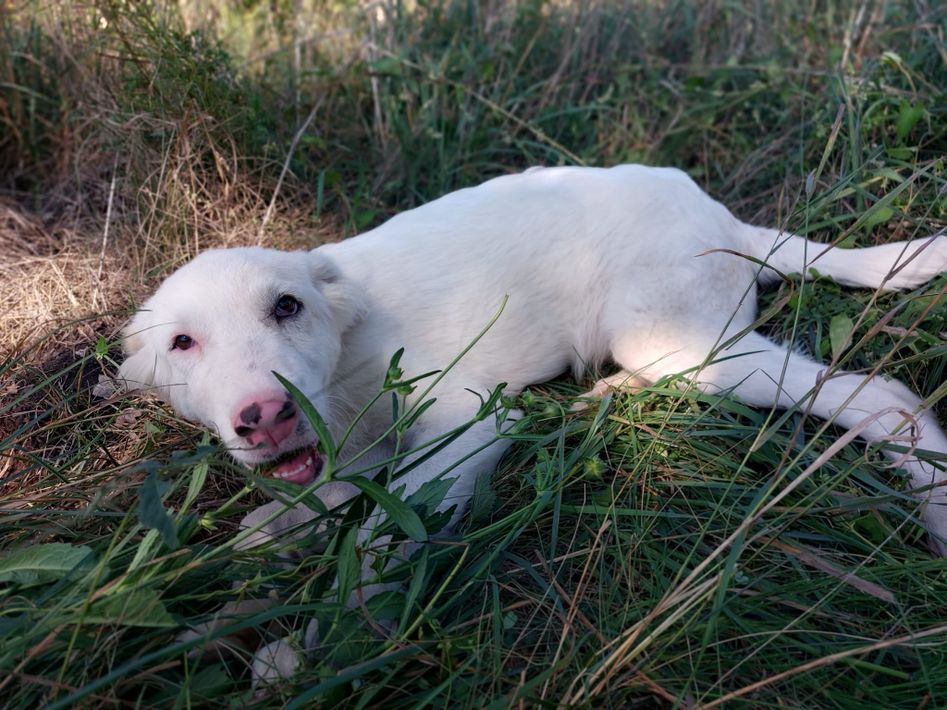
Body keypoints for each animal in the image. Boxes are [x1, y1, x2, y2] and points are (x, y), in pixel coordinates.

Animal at [119, 164, 947, 679]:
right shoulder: (348, 450)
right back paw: (592, 399)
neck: (347, 351)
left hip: (679, 344)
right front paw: (269, 541)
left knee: (884, 398)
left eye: (285, 306)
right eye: (182, 344)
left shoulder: (468, 425)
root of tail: (728, 221)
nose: (263, 416)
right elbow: (329, 498)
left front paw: (320, 643)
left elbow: (379, 536)